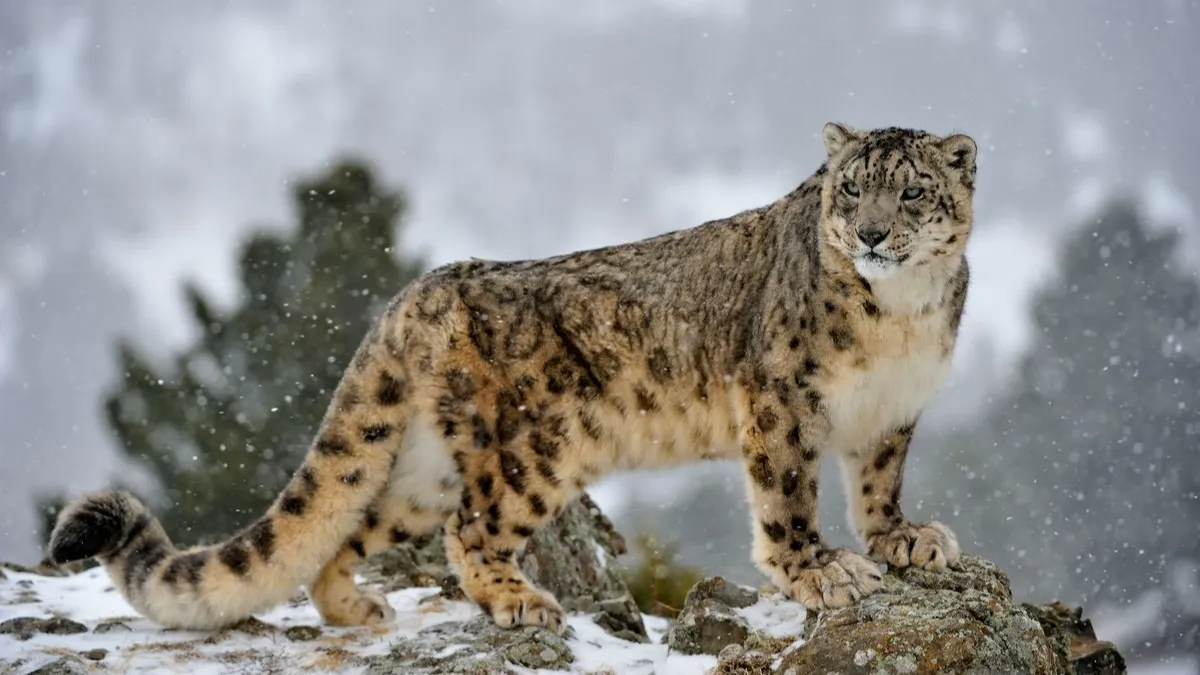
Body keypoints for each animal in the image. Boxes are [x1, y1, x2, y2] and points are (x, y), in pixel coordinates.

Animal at [47, 122, 977, 634]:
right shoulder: (781, 400)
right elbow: (787, 497)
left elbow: (878, 484)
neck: (903, 314)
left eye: (911, 192)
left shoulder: (892, 411)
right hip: (538, 445)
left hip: (423, 463)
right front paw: (821, 571)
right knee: (472, 526)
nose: (872, 233)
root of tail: (422, 288)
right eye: (849, 188)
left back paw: (356, 609)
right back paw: (516, 598)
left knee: (355, 523)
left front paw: (903, 539)